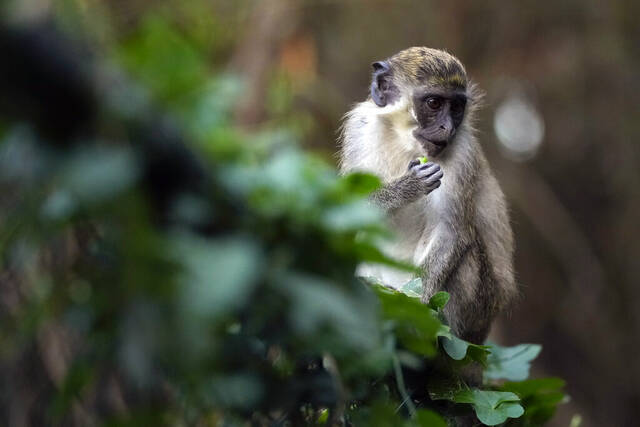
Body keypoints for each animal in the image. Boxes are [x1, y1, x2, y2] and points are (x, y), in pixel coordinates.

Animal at [339, 47, 516, 344]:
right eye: (434, 103)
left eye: (456, 108)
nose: (447, 128)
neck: (406, 143)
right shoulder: (359, 130)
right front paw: (405, 187)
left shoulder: (463, 152)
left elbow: (451, 232)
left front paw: (415, 312)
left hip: (476, 311)